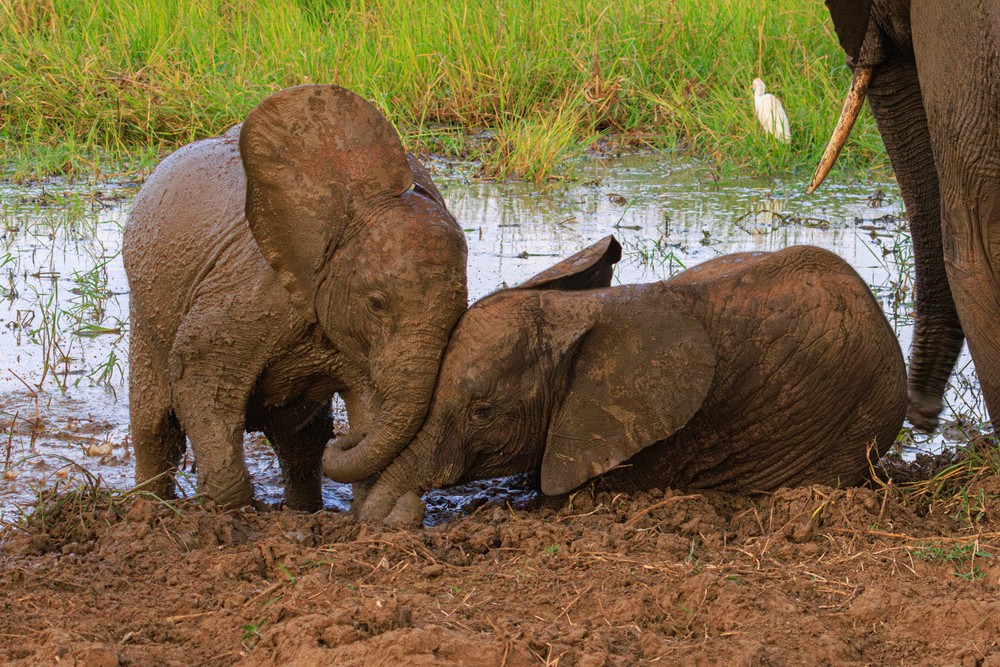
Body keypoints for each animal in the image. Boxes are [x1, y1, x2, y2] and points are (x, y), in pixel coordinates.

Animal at [124, 85, 468, 511]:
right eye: (376, 303)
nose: (346, 438)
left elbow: (370, 404)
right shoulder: (248, 294)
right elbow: (199, 376)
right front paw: (233, 512)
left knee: (299, 439)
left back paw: (303, 511)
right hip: (144, 308)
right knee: (155, 426)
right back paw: (149, 508)